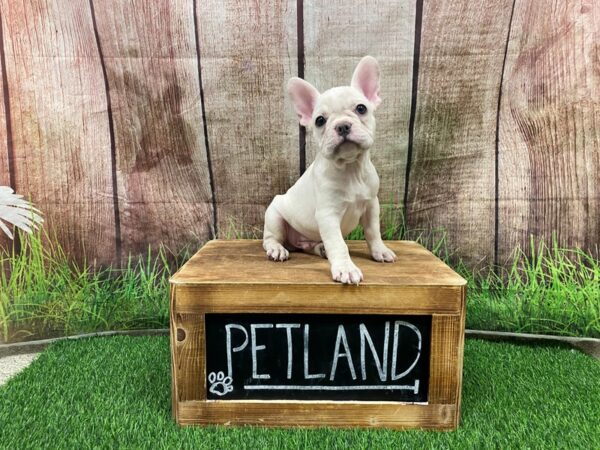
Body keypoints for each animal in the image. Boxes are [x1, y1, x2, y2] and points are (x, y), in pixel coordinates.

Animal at [264, 56, 396, 284]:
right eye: (319, 120)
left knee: (308, 245)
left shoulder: (372, 205)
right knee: (270, 239)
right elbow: (338, 244)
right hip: (274, 217)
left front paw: (380, 250)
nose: (342, 125)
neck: (351, 168)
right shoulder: (328, 214)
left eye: (361, 108)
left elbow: (373, 232)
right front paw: (345, 268)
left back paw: (319, 248)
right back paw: (277, 249)